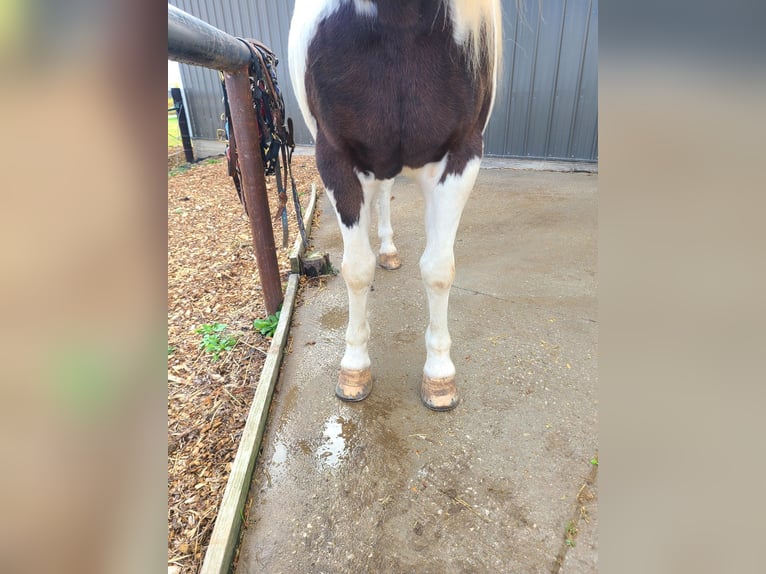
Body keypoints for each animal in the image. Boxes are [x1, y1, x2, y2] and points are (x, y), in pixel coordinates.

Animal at [288, 1, 504, 414]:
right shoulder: (335, 159)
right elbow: (357, 270)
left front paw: (439, 375)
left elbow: (439, 270)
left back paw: (388, 250)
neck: (400, 22)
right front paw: (354, 368)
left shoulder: (462, 155)